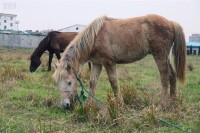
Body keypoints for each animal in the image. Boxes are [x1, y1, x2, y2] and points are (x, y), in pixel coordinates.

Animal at [52, 14, 186, 110]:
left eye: (69, 82)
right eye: (57, 83)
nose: (65, 105)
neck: (95, 37)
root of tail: (171, 22)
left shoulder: (109, 63)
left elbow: (114, 83)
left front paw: (119, 104)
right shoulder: (97, 64)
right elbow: (92, 83)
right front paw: (89, 105)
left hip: (160, 56)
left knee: (165, 78)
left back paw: (160, 106)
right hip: (165, 57)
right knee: (172, 75)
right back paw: (173, 102)